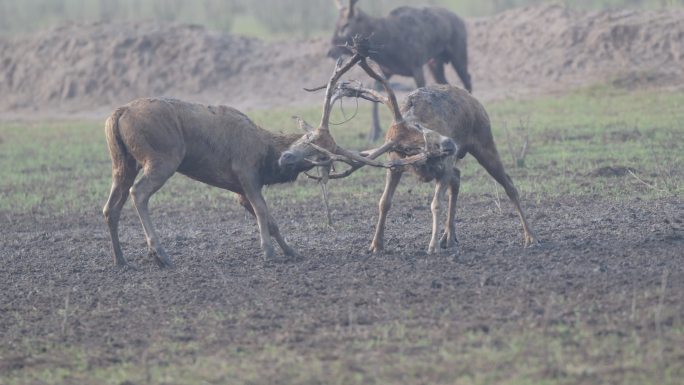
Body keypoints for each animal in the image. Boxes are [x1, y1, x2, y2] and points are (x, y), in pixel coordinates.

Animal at [282, 39, 536, 255]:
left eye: (419, 127)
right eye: (408, 146)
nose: (450, 144)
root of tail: (473, 99)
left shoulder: (443, 165)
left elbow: (435, 204)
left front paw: (431, 245)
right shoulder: (394, 165)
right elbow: (384, 202)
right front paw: (376, 244)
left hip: (484, 142)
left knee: (508, 184)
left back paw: (530, 237)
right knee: (458, 177)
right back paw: (449, 236)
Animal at [328, 0, 472, 142]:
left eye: (345, 25)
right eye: (336, 24)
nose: (330, 51)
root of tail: (460, 19)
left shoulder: (416, 64)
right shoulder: (387, 70)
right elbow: (375, 94)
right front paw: (374, 133)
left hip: (459, 51)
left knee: (467, 78)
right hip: (435, 62)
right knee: (445, 83)